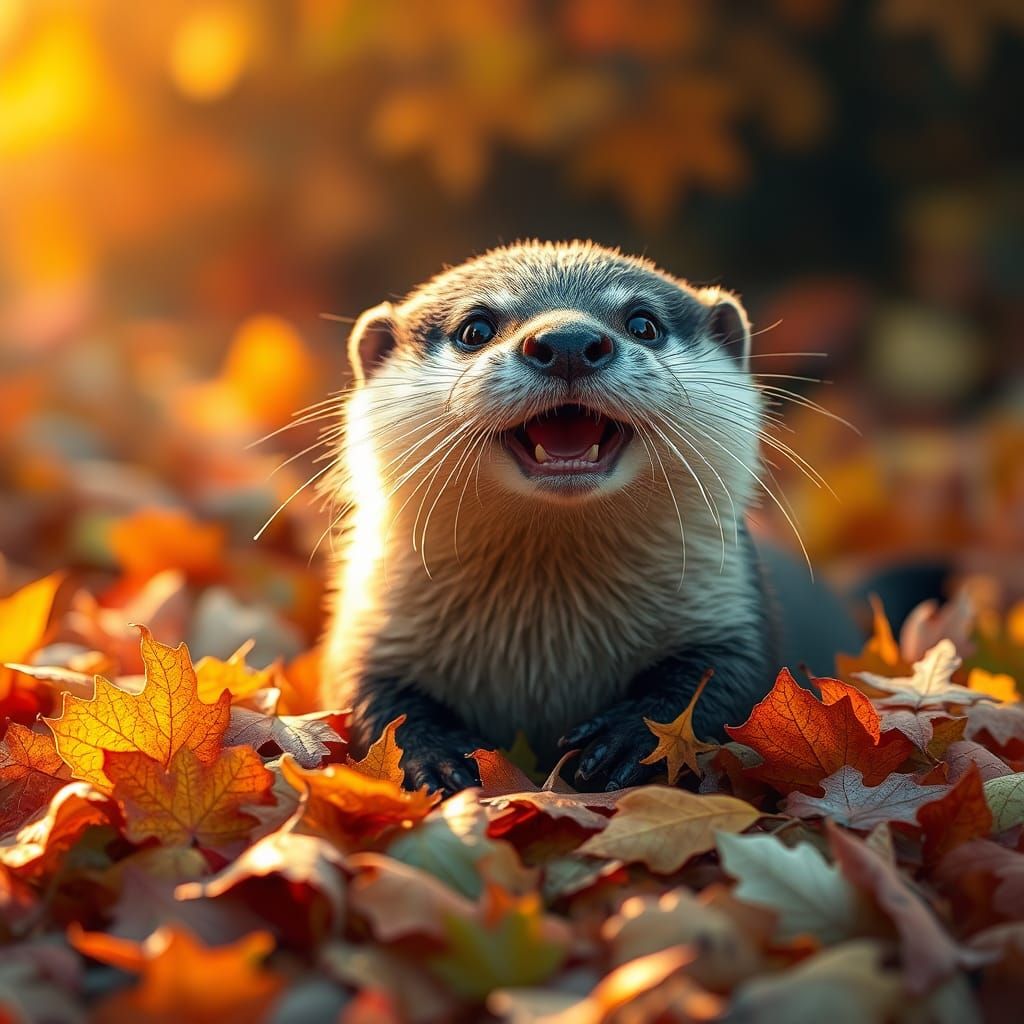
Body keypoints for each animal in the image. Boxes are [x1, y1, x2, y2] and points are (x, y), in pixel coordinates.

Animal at [320, 240, 788, 794]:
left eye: (644, 323)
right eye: (474, 329)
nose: (568, 340)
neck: (548, 651)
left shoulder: (733, 612)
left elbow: (726, 682)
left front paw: (632, 740)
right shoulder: (369, 631)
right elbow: (369, 700)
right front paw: (434, 759)